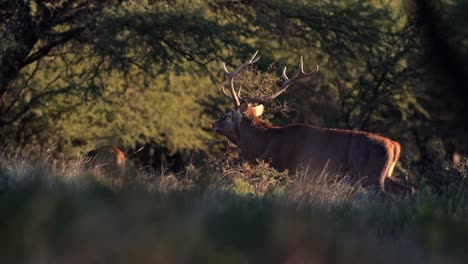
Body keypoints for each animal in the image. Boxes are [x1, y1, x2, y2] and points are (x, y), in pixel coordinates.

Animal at [212, 51, 414, 195]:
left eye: (228, 114)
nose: (214, 124)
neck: (264, 143)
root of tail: (395, 146)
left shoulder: (286, 168)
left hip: (372, 175)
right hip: (386, 174)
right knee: (408, 189)